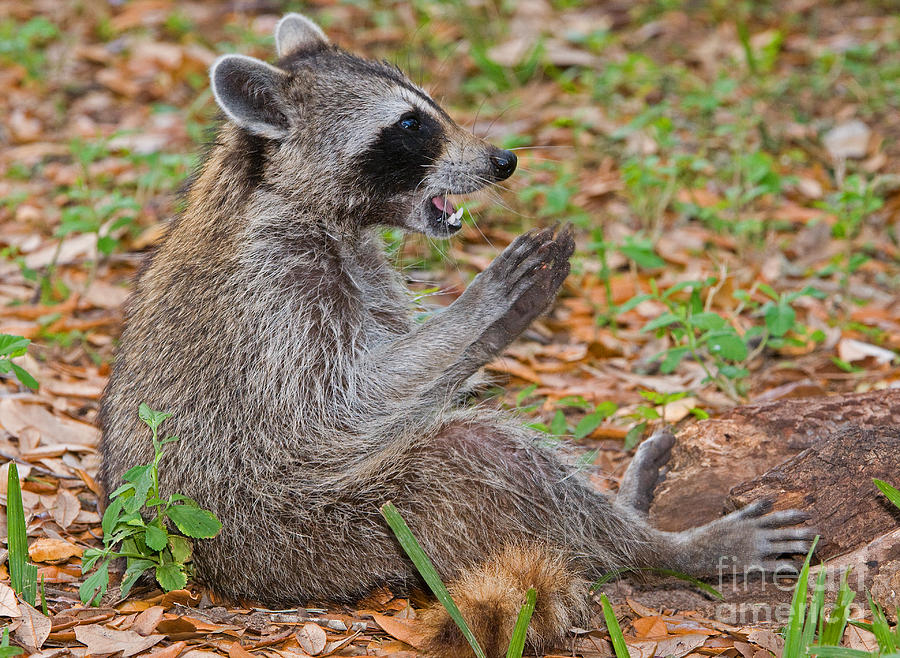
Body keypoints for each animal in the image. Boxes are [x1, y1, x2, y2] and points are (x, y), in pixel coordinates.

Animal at [100, 12, 816, 652]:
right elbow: (334, 412)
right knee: (482, 452)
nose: (503, 160)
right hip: (325, 533)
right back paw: (659, 547)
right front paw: (480, 308)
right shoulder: (272, 298)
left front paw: (492, 329)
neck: (285, 194)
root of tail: (233, 576)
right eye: (409, 125)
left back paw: (631, 508)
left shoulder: (363, 268)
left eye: (431, 106)